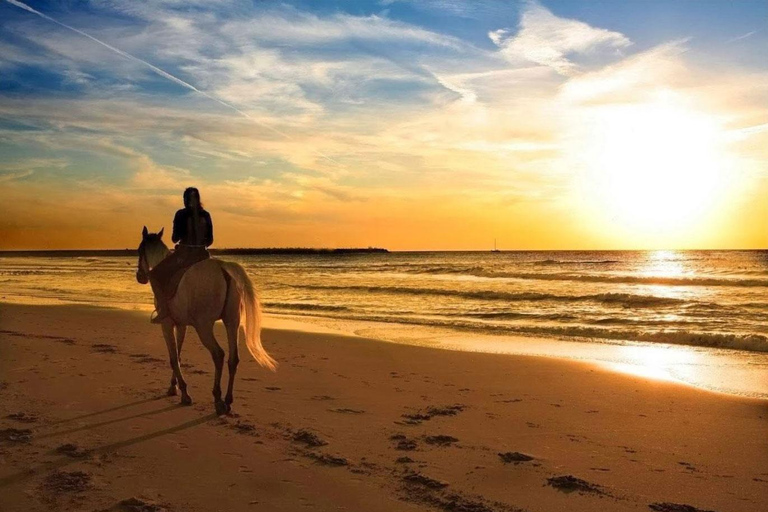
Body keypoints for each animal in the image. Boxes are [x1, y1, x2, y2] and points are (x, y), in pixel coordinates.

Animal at [136, 226, 278, 414]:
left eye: (139, 250)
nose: (140, 277)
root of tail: (223, 268)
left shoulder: (167, 325)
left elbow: (173, 358)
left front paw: (184, 393)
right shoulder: (181, 325)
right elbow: (178, 355)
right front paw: (174, 387)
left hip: (204, 327)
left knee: (218, 354)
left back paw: (218, 400)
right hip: (231, 322)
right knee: (233, 358)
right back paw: (228, 400)